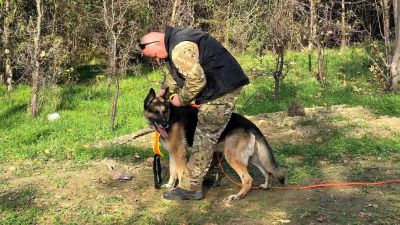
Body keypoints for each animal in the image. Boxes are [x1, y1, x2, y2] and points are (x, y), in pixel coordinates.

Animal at [144, 88, 284, 200]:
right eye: (156, 112)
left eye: (165, 112)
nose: (164, 124)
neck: (171, 117)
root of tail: (251, 125)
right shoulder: (173, 154)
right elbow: (172, 172)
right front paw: (169, 185)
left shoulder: (179, 155)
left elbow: (179, 173)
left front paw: (178, 189)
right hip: (252, 158)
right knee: (268, 172)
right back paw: (266, 186)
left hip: (232, 157)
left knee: (248, 179)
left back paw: (238, 196)